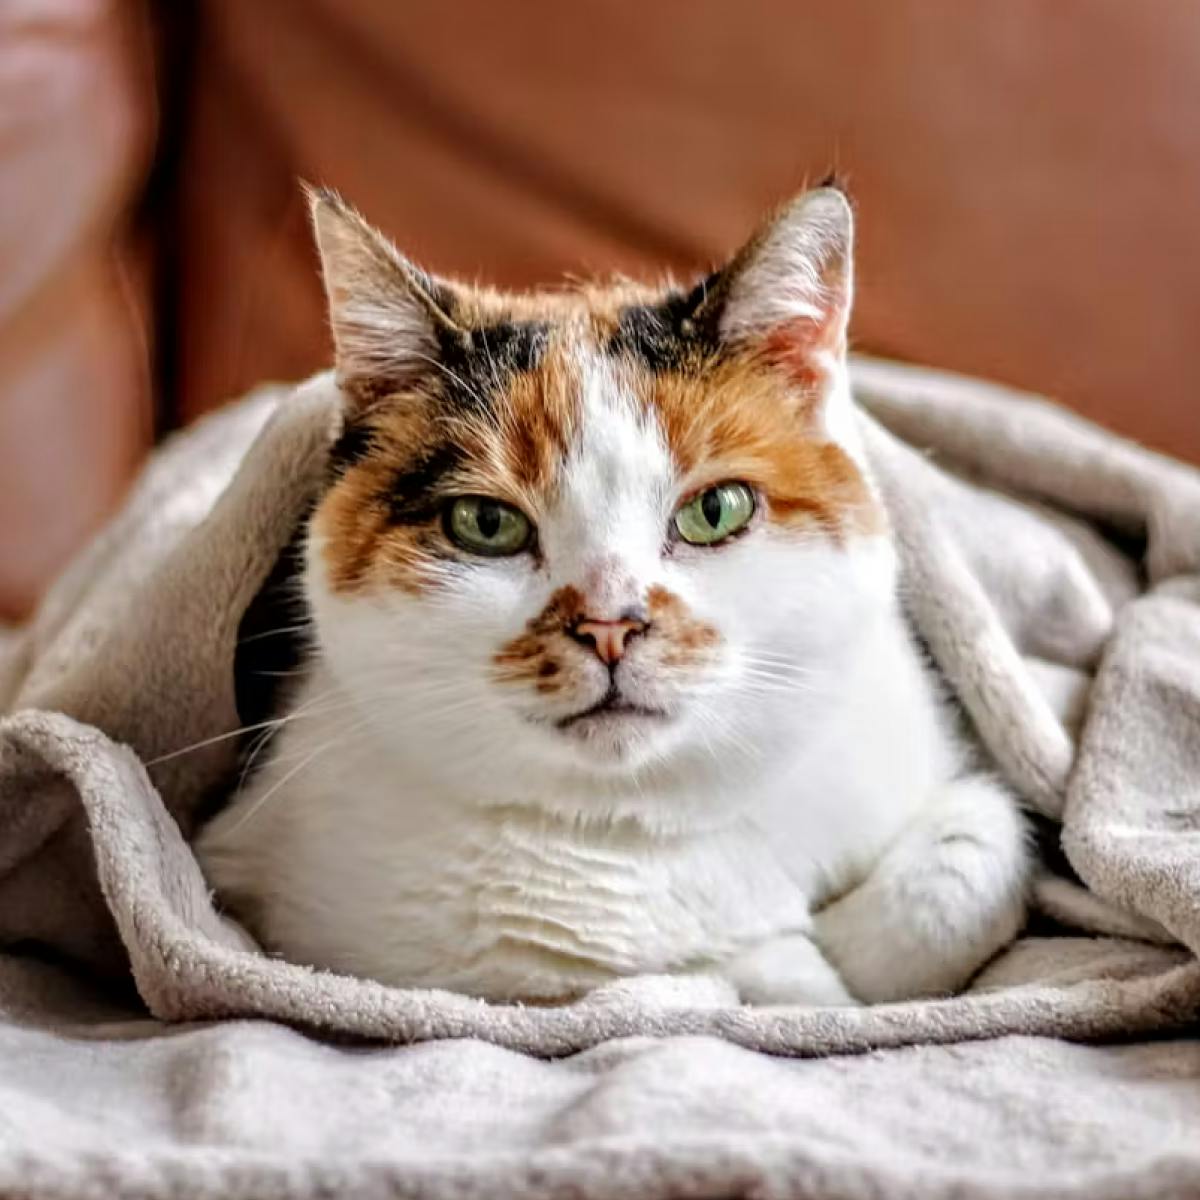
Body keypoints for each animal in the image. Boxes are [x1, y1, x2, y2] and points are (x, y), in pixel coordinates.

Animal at [192, 187, 1027, 1008]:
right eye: (485, 523)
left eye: (715, 509)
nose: (610, 626)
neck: (650, 822)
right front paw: (781, 962)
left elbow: (981, 848)